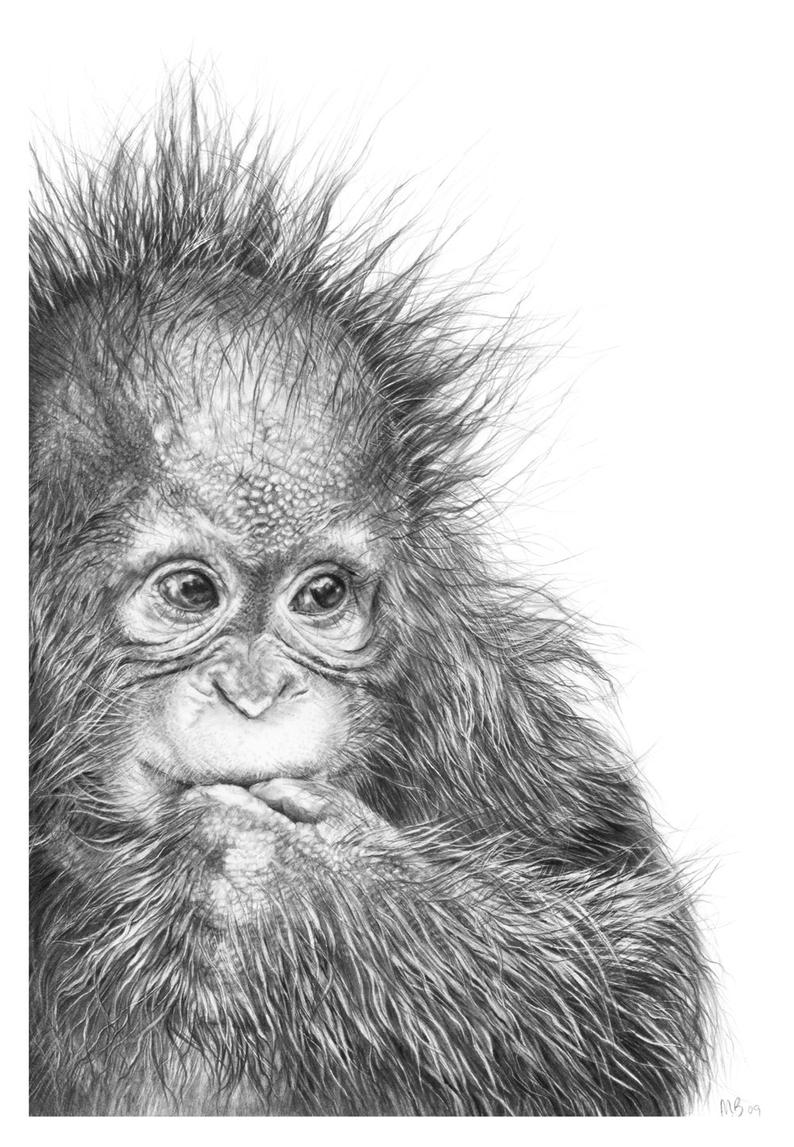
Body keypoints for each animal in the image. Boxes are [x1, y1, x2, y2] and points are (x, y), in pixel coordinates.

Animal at [29, 86, 713, 1117]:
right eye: (190, 590)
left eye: (322, 595)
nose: (259, 692)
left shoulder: (466, 688)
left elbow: (633, 966)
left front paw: (302, 899)